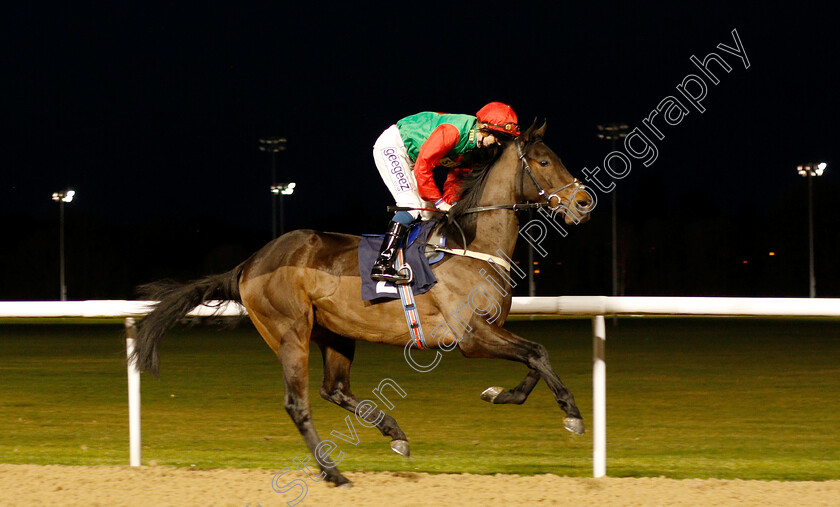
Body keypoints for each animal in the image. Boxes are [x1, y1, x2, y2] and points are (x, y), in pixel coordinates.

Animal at [133, 120, 592, 488]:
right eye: (545, 162)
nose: (584, 202)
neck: (471, 245)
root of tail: (248, 263)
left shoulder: (491, 330)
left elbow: (535, 359)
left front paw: (500, 394)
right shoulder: (471, 337)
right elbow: (537, 352)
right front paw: (572, 413)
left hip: (335, 334)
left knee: (334, 390)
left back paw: (395, 434)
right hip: (290, 334)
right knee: (298, 404)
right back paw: (333, 473)